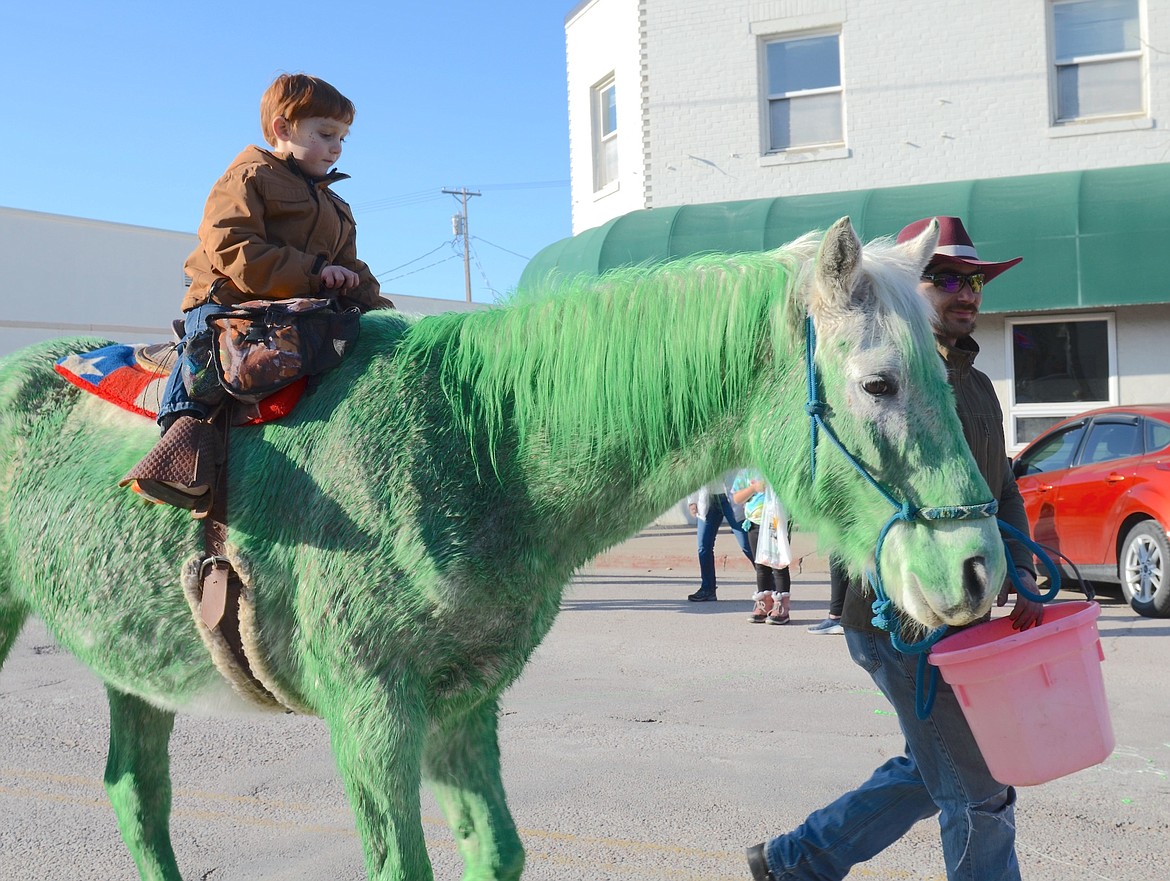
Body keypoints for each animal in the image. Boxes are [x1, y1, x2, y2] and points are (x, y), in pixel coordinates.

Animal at [0, 216, 1006, 875]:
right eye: (878, 382)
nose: (978, 567)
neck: (478, 444)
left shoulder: (464, 702)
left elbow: (497, 850)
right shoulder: (372, 711)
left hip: (135, 663)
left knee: (137, 793)